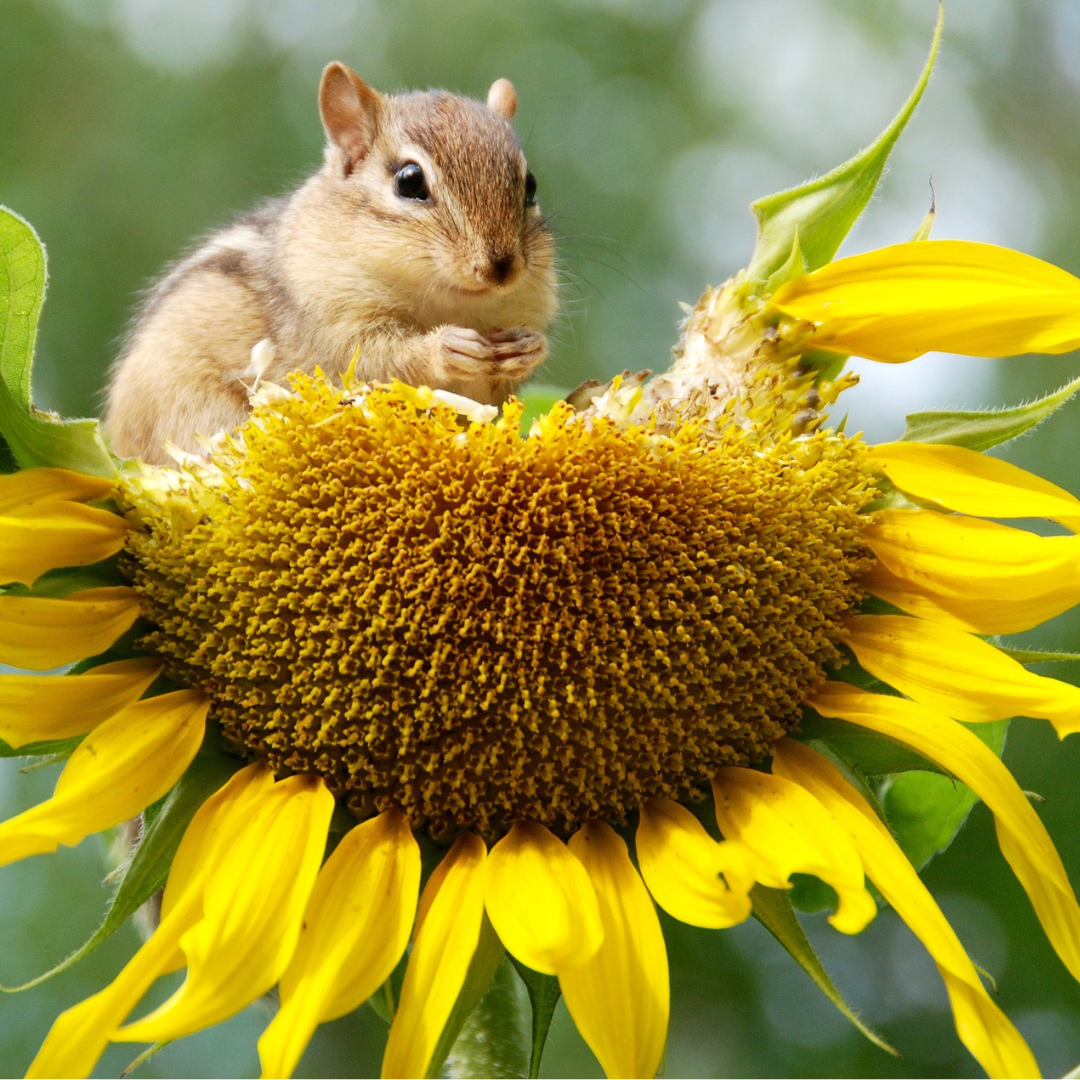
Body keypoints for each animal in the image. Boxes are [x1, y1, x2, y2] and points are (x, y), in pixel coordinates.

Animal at [104, 62, 558, 464]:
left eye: (531, 185)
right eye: (410, 181)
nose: (501, 268)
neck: (448, 302)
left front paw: (528, 347)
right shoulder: (332, 325)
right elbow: (379, 360)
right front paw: (445, 346)